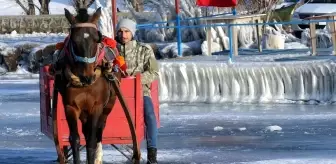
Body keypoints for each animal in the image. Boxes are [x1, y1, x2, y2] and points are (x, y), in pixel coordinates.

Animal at [53, 7, 122, 163]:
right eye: (74, 41)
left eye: (97, 39)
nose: (87, 76)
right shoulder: (70, 107)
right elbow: (75, 139)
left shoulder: (96, 107)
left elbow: (91, 140)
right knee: (85, 130)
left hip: (109, 104)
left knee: (99, 130)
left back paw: (98, 157)